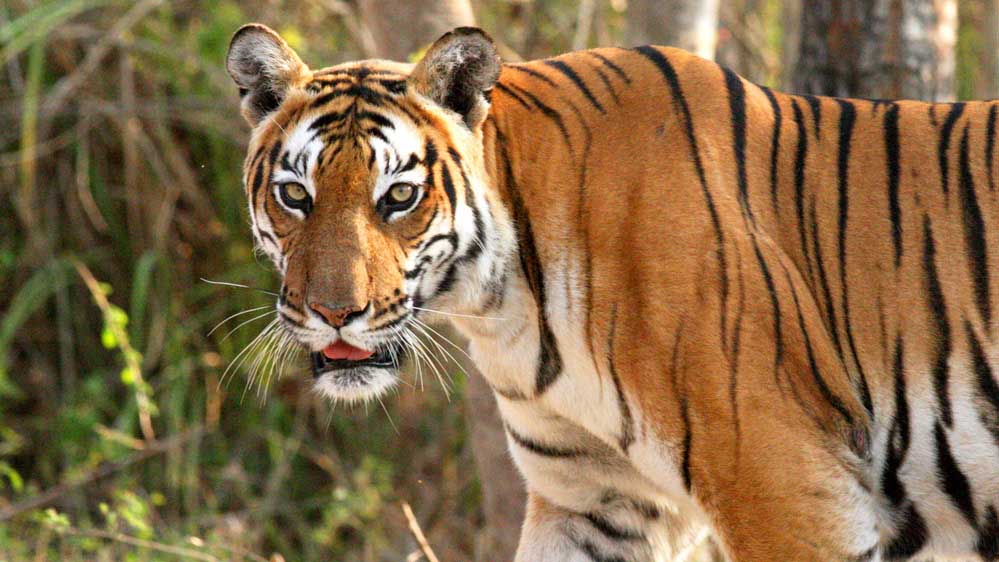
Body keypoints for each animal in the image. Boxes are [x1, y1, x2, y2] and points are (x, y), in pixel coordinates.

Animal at [225, 22, 999, 561]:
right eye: (295, 195)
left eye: (398, 197)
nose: (334, 314)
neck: (506, 307)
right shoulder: (598, 501)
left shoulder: (787, 489)